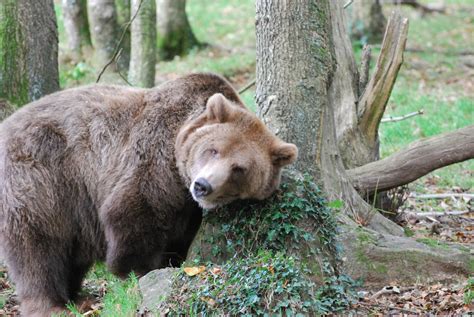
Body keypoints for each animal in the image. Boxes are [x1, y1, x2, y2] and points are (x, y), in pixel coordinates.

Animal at [0, 73, 296, 314]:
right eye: (213, 150)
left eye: (239, 169)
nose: (203, 185)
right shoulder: (154, 160)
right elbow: (135, 213)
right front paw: (140, 269)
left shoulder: (187, 206)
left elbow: (180, 235)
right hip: (39, 179)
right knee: (37, 247)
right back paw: (51, 304)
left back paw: (75, 297)